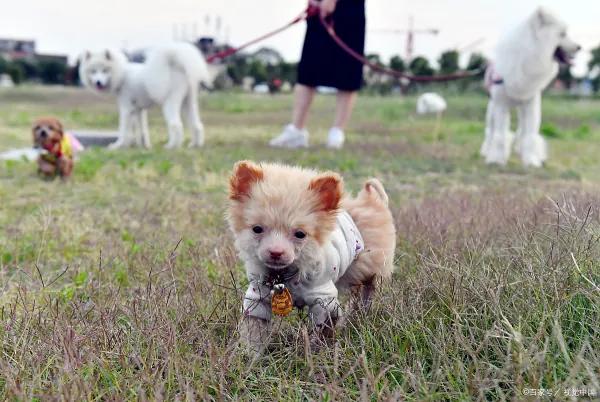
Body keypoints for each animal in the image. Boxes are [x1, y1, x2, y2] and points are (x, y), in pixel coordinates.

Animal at [76, 41, 224, 150]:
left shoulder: (126, 109)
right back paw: (195, 145)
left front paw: (118, 145)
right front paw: (144, 146)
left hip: (170, 104)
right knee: (197, 125)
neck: (122, 75)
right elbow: (142, 130)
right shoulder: (138, 110)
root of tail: (178, 66)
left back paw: (172, 146)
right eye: (93, 71)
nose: (98, 82)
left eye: (105, 70)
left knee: (176, 125)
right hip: (188, 103)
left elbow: (124, 130)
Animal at [480, 7, 580, 168]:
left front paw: (531, 160)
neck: (529, 55)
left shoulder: (531, 106)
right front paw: (496, 159)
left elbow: (530, 135)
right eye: (562, 34)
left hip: (521, 110)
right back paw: (487, 151)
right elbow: (500, 134)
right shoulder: (501, 106)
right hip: (492, 109)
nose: (579, 47)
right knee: (491, 131)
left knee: (521, 131)